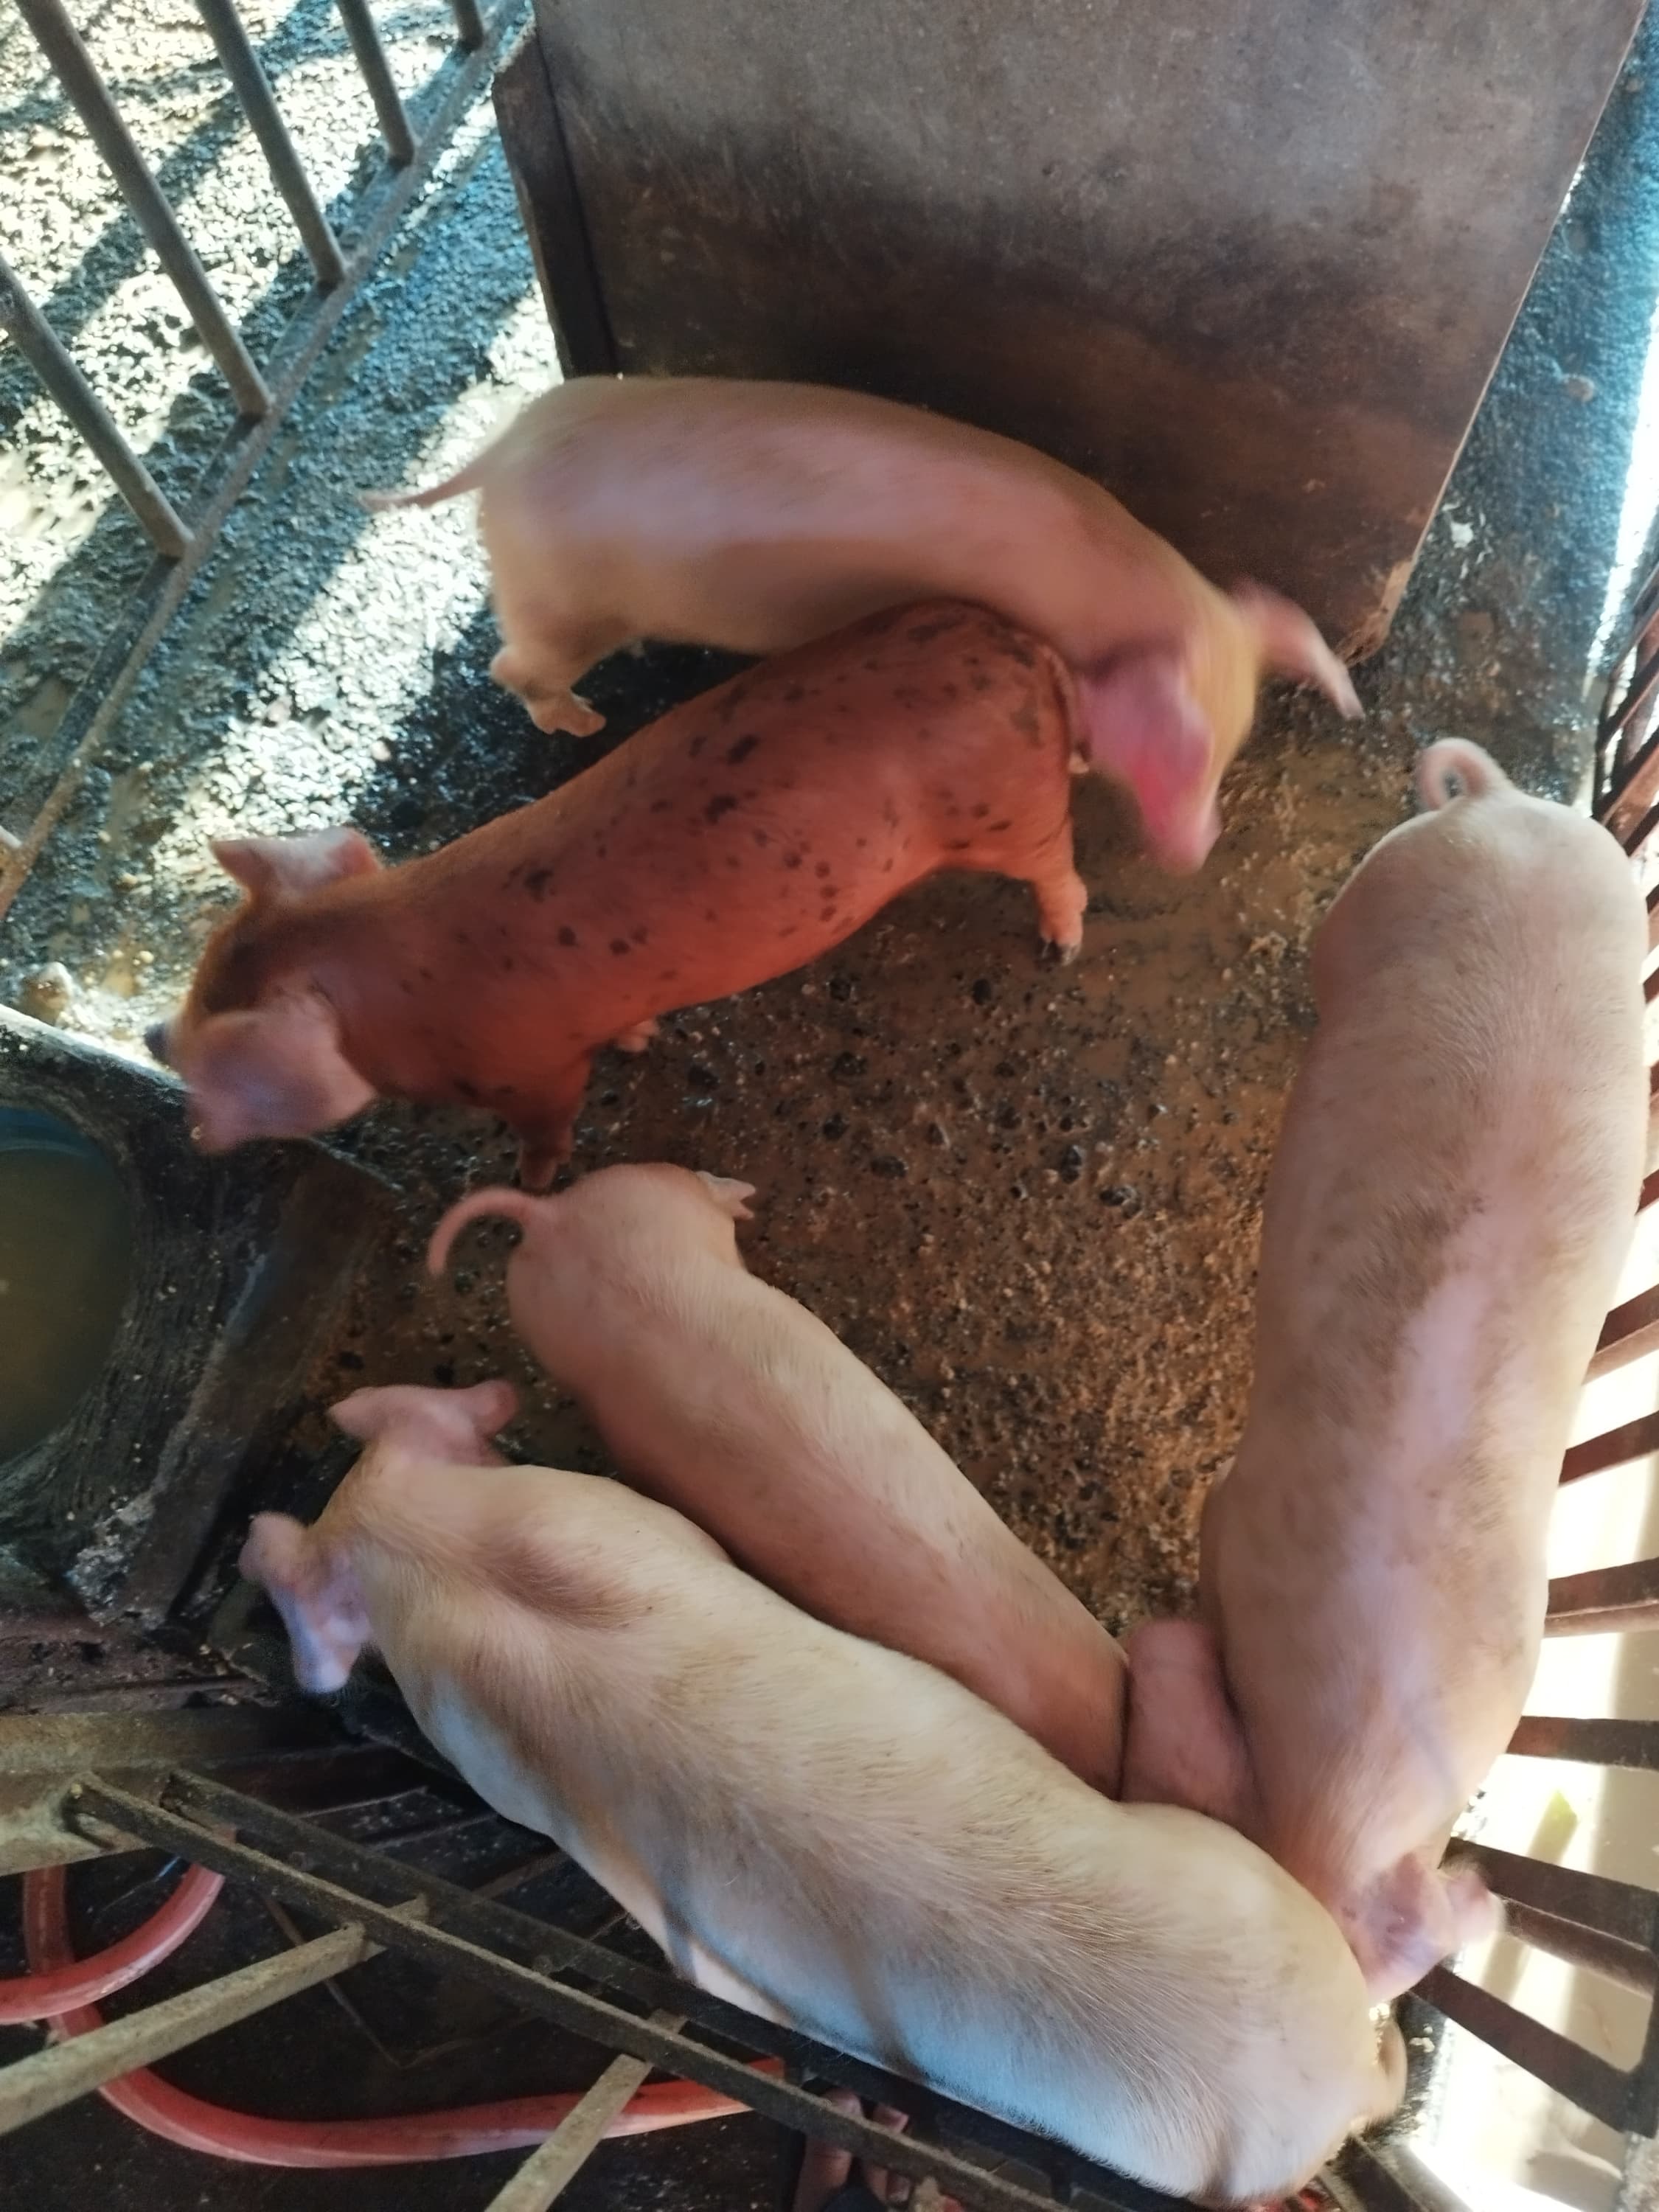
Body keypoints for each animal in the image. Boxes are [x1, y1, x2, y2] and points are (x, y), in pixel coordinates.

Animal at [146, 602, 1095, 1189]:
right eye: (203, 971)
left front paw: (530, 1180)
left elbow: (549, 1126)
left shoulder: (536, 1072)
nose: (154, 1035)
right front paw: (642, 1039)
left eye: (222, 1038)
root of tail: (1020, 647)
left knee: (1064, 869)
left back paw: (1060, 946)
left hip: (1009, 814)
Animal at [363, 374, 1361, 872]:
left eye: (1234, 747)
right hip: (559, 601)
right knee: (513, 668)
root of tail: (499, 451)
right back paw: (585, 721)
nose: (1199, 850)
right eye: (1174, 758)